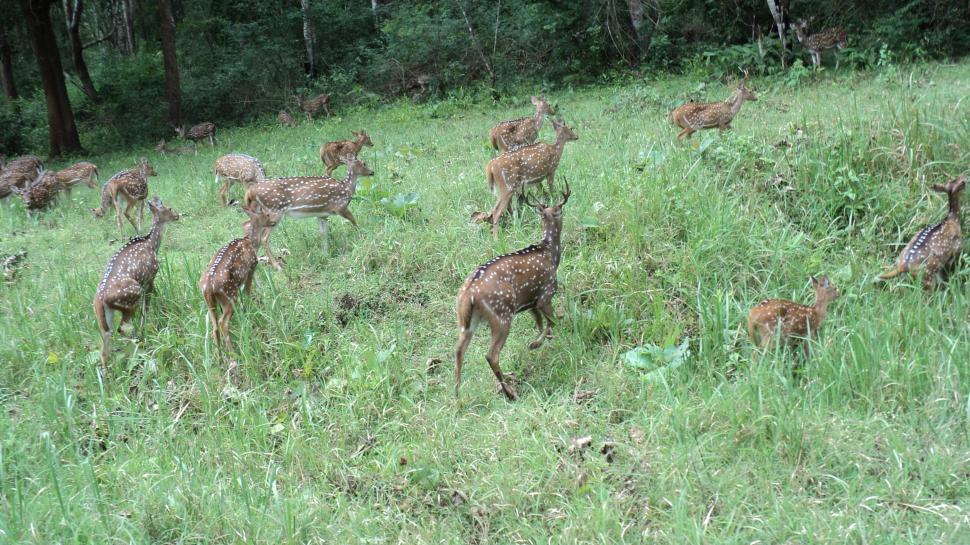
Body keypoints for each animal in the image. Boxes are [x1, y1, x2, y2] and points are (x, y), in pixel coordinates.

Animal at [93, 197, 180, 366]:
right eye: (169, 208)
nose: (177, 215)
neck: (151, 243)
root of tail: (100, 299)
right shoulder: (150, 276)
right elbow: (148, 304)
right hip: (131, 298)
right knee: (122, 327)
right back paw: (138, 342)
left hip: (104, 314)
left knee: (105, 340)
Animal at [199, 206, 282, 352]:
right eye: (266, 214)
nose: (275, 220)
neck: (250, 241)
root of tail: (208, 286)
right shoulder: (252, 265)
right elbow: (248, 291)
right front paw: (249, 309)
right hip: (229, 295)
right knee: (222, 322)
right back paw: (233, 353)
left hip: (210, 302)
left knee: (214, 327)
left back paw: (220, 355)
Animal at [244, 156, 374, 268]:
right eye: (364, 163)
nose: (372, 172)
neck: (346, 188)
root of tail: (251, 192)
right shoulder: (339, 206)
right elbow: (353, 220)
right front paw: (362, 236)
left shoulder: (322, 214)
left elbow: (323, 233)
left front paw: (325, 254)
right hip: (275, 211)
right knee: (263, 237)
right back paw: (277, 266)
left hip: (260, 212)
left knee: (250, 228)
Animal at [455, 182, 571, 401]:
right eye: (559, 209)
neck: (550, 254)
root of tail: (468, 294)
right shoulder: (545, 294)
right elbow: (552, 322)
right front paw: (535, 344)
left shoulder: (531, 303)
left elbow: (540, 324)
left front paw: (542, 341)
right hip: (502, 315)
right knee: (491, 355)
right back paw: (510, 393)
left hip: (466, 322)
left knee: (458, 351)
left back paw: (457, 395)